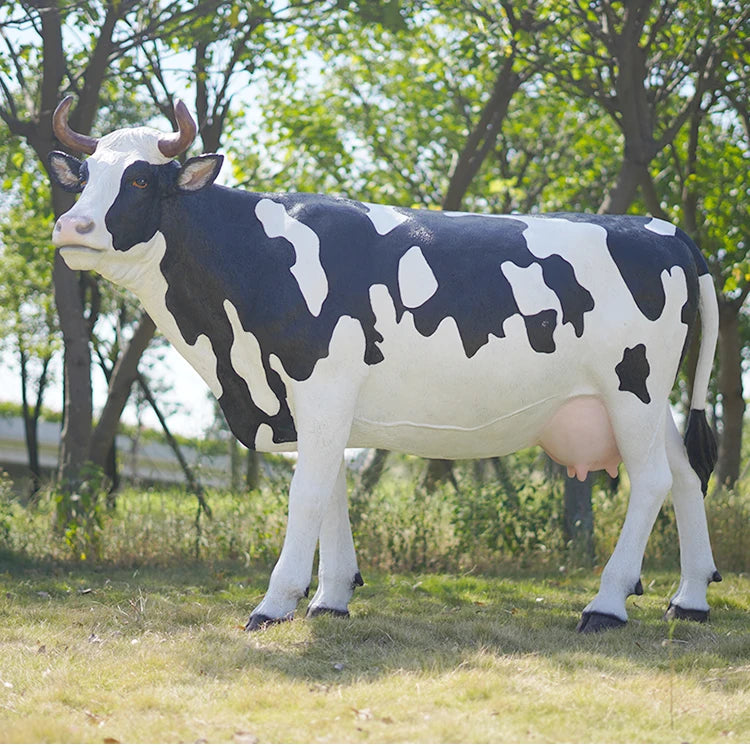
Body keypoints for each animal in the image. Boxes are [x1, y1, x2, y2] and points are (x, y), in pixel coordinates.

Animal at [48, 97, 721, 633]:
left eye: (139, 180)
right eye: (83, 176)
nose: (71, 225)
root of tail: (664, 229)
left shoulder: (320, 384)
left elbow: (308, 492)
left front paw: (276, 602)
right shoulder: (315, 402)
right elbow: (333, 491)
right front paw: (331, 597)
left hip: (632, 386)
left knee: (652, 480)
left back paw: (606, 604)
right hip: (648, 396)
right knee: (686, 472)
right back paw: (689, 600)